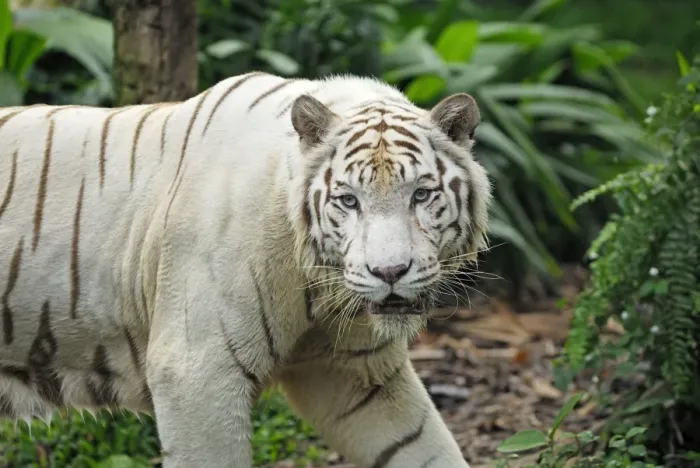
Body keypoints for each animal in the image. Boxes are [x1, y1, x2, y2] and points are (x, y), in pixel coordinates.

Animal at [0, 71, 492, 468]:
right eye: (349, 200)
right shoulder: (196, 372)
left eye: (421, 195)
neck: (316, 285)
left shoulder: (359, 374)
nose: (390, 271)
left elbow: (425, 447)